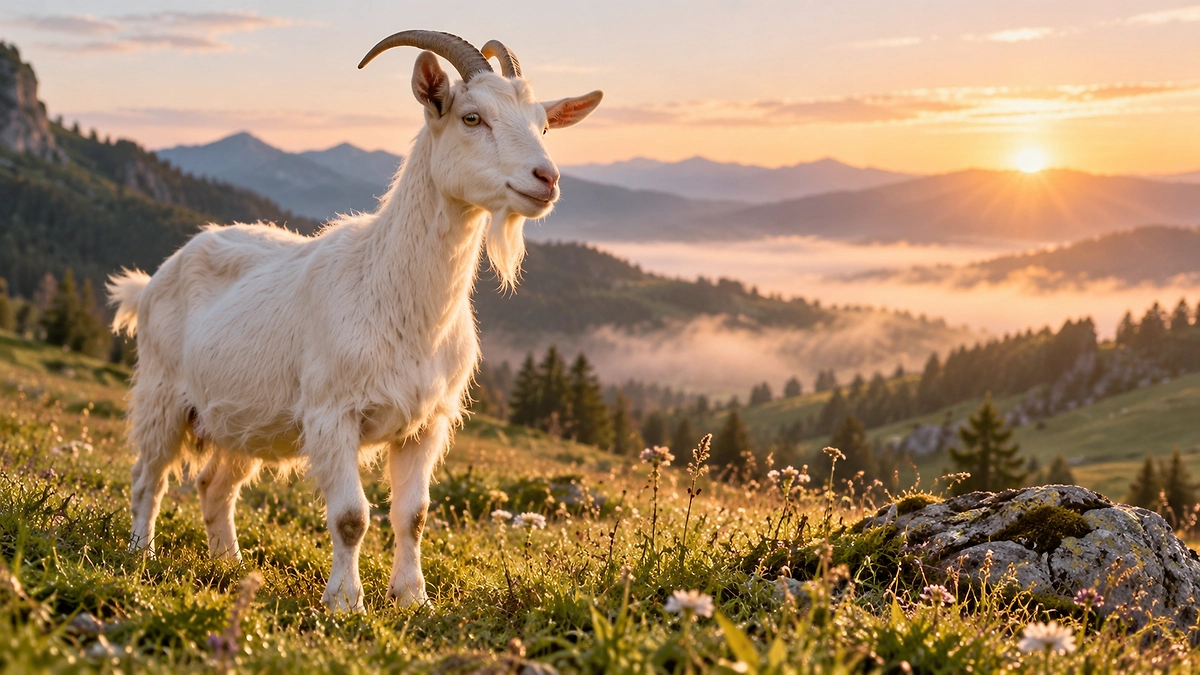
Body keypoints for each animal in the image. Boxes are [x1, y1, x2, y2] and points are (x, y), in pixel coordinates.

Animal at [106, 30, 602, 612]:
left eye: (543, 125)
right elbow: (350, 518)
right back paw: (141, 552)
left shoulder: (427, 424)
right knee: (148, 476)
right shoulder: (331, 415)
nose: (546, 178)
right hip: (162, 395)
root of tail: (154, 279)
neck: (394, 296)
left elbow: (413, 516)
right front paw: (346, 602)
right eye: (472, 117)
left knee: (215, 486)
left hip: (245, 418)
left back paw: (229, 564)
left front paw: (412, 598)